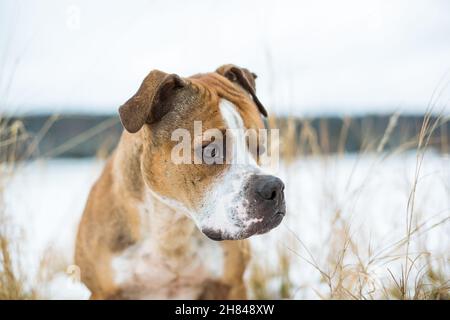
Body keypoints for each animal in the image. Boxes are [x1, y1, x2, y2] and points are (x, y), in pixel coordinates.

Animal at [74, 63, 284, 298]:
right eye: (211, 151)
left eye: (260, 147)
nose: (274, 188)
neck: (171, 227)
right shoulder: (103, 291)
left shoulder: (231, 285)